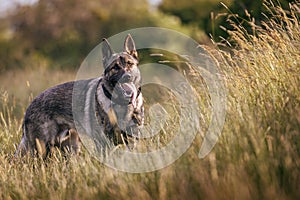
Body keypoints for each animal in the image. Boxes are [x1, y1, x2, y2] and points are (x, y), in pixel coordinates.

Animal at [15, 34, 144, 158]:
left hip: (72, 147)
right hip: (41, 149)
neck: (122, 104)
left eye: (130, 64)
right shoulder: (103, 143)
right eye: (115, 67)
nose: (127, 76)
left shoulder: (132, 141)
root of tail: (29, 107)